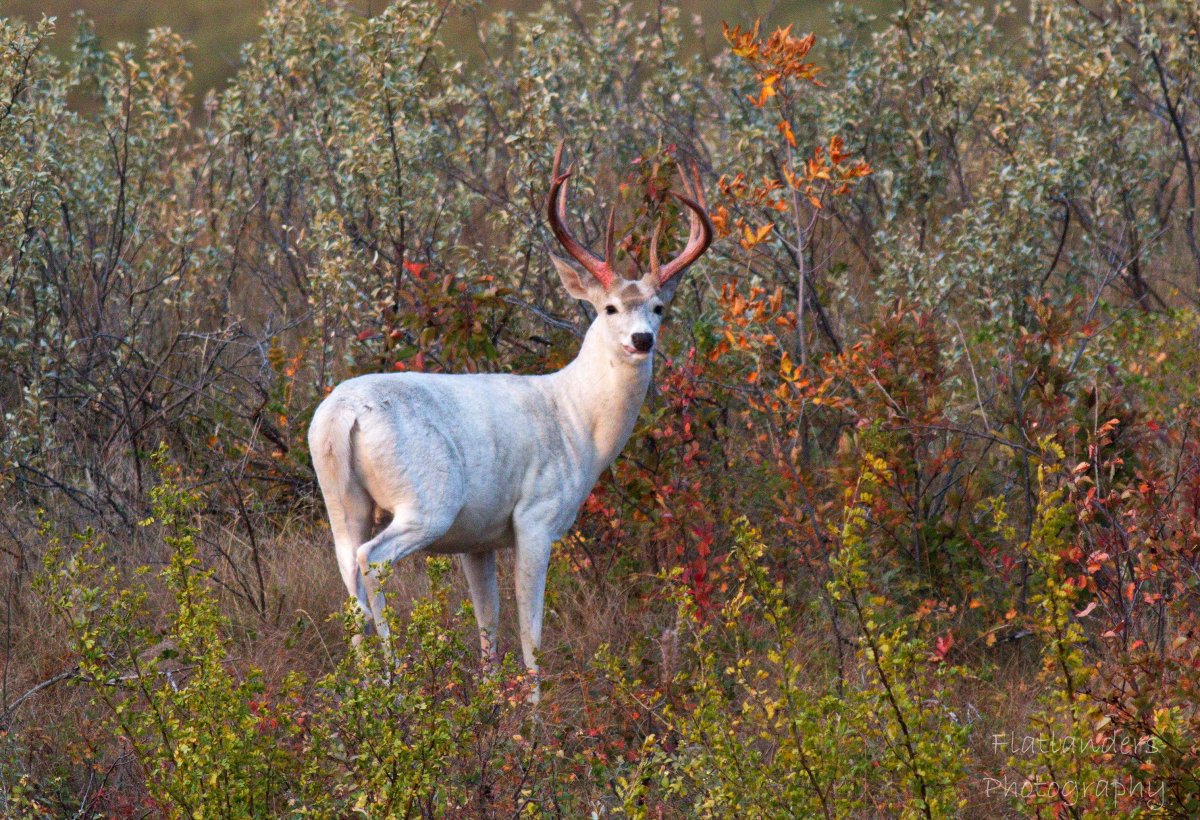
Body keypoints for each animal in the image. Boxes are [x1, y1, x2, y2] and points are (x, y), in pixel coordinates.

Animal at [307, 145, 710, 701]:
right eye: (609, 308)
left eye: (659, 307)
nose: (642, 339)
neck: (577, 421)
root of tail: (341, 415)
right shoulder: (536, 515)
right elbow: (530, 628)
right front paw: (535, 708)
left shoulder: (478, 538)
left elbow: (488, 623)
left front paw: (492, 698)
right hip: (428, 497)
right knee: (374, 561)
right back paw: (395, 681)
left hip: (342, 500)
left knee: (347, 568)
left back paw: (366, 684)